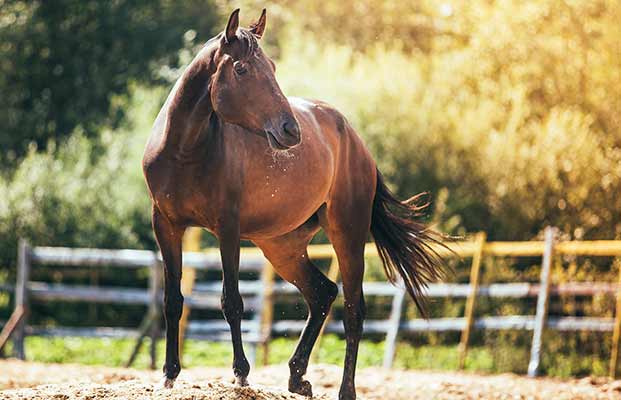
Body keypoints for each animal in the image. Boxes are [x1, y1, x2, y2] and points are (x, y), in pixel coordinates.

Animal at [143, 9, 444, 400]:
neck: (185, 150)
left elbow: (232, 301)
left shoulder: (227, 228)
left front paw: (241, 374)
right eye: (241, 69)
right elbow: (173, 299)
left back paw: (345, 390)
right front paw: (169, 375)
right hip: (281, 246)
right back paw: (297, 377)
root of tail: (353, 138)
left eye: (271, 66)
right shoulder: (165, 225)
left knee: (353, 309)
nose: (290, 131)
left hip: (347, 234)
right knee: (322, 293)